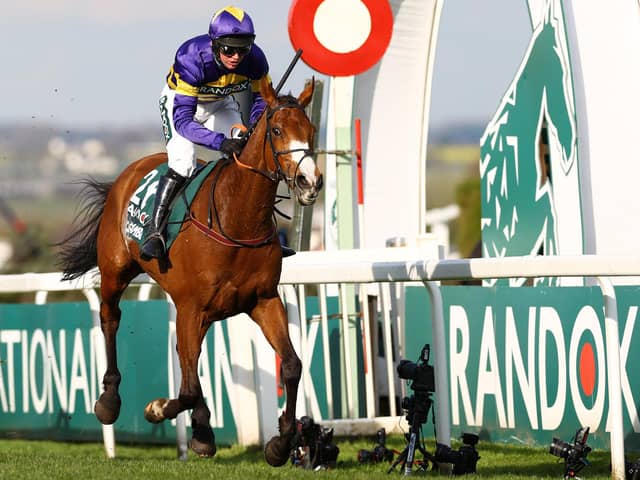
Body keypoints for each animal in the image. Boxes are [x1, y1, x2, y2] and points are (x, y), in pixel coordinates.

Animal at [55, 78, 322, 464]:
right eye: (276, 130)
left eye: (311, 130)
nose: (309, 181)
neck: (237, 218)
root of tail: (128, 172)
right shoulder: (191, 307)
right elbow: (190, 385)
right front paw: (158, 410)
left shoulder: (263, 300)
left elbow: (291, 365)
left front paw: (279, 444)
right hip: (117, 272)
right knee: (111, 319)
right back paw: (109, 401)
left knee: (187, 360)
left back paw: (202, 430)